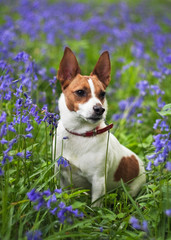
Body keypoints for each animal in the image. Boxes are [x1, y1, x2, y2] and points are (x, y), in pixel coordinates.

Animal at [53, 47, 146, 206]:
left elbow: (95, 206)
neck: (79, 133)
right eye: (80, 92)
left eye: (102, 94)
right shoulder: (61, 175)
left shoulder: (98, 182)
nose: (99, 109)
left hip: (131, 190)